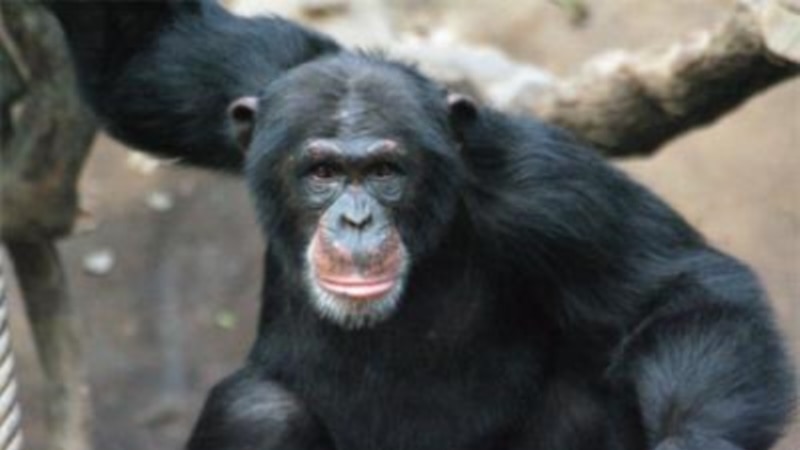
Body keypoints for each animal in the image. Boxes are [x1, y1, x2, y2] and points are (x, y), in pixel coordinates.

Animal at [47, 0, 796, 450]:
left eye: (385, 171)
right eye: (322, 172)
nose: (355, 218)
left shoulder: (548, 191)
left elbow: (683, 288)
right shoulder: (241, 80)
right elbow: (141, 53)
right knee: (257, 412)